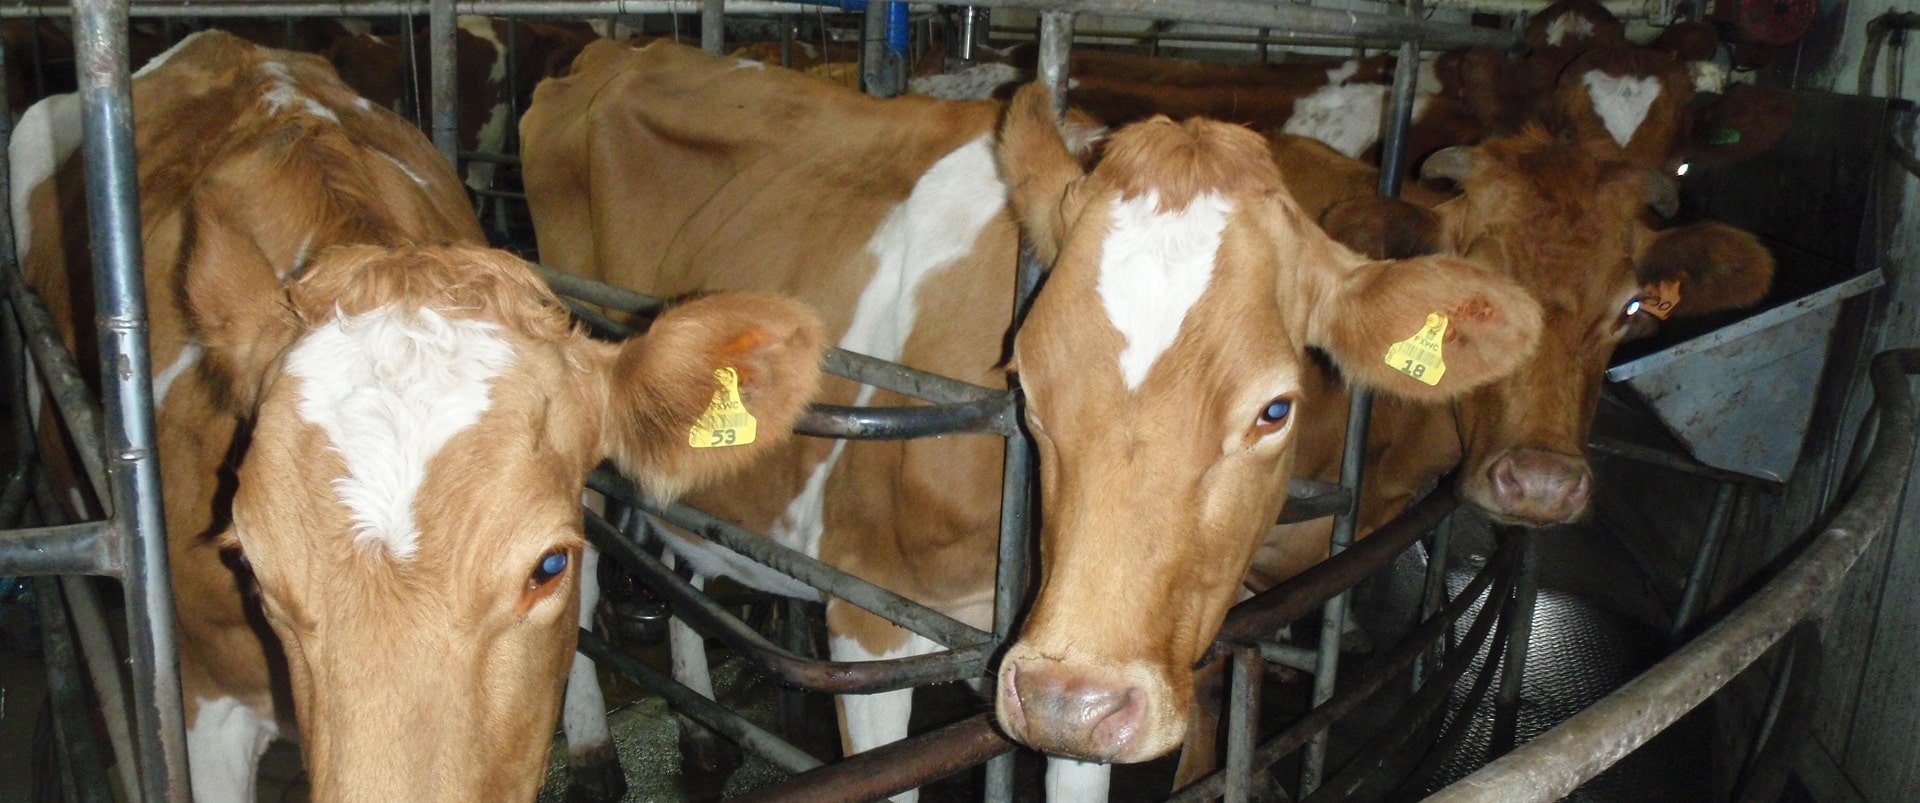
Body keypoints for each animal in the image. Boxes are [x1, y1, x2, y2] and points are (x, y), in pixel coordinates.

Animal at [518, 39, 1536, 795]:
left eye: (1275, 409)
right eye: (1029, 389)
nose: (1068, 698)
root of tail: (615, 49)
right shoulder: (869, 615)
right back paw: (596, 754)